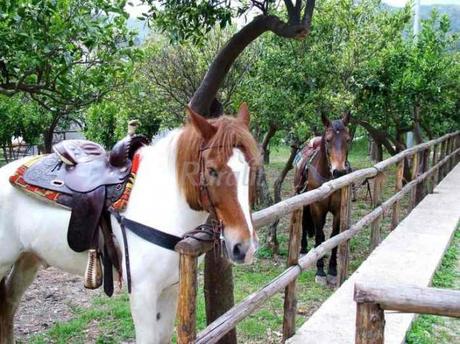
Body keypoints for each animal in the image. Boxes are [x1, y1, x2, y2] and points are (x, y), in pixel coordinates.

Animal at [0, 103, 258, 342]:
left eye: (253, 168)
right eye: (212, 170)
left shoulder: (171, 289)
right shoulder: (143, 294)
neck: (162, 204)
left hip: (27, 259)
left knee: (8, 303)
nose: (244, 248)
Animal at [294, 112, 352, 284]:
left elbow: (334, 235)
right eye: (328, 140)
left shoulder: (338, 209)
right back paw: (304, 248)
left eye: (348, 139)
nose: (339, 171)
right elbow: (319, 234)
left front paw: (332, 269)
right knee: (304, 223)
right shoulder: (317, 207)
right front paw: (320, 271)